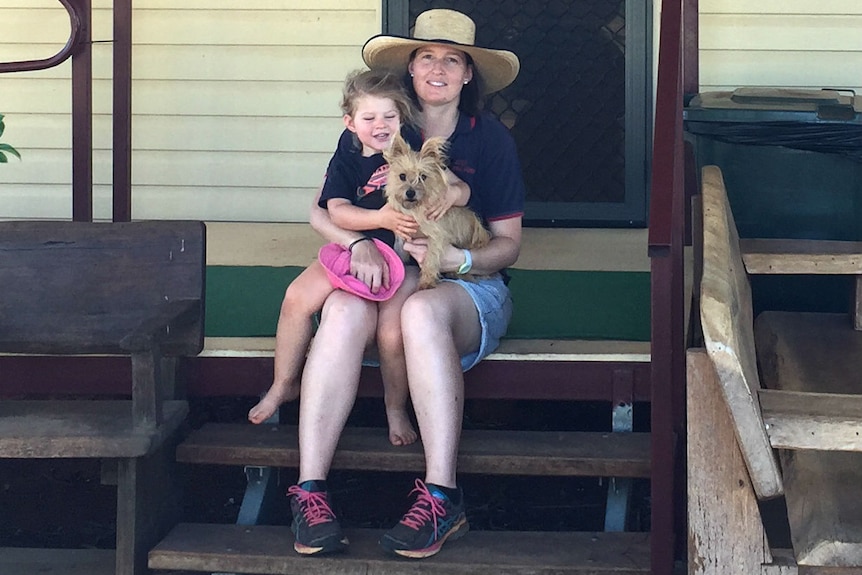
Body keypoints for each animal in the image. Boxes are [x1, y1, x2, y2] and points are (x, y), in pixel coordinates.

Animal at [386, 133, 492, 290]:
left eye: (423, 177)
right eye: (402, 176)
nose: (410, 193)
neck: (416, 210)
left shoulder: (436, 238)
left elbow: (430, 260)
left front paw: (426, 282)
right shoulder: (402, 237)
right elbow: (398, 254)